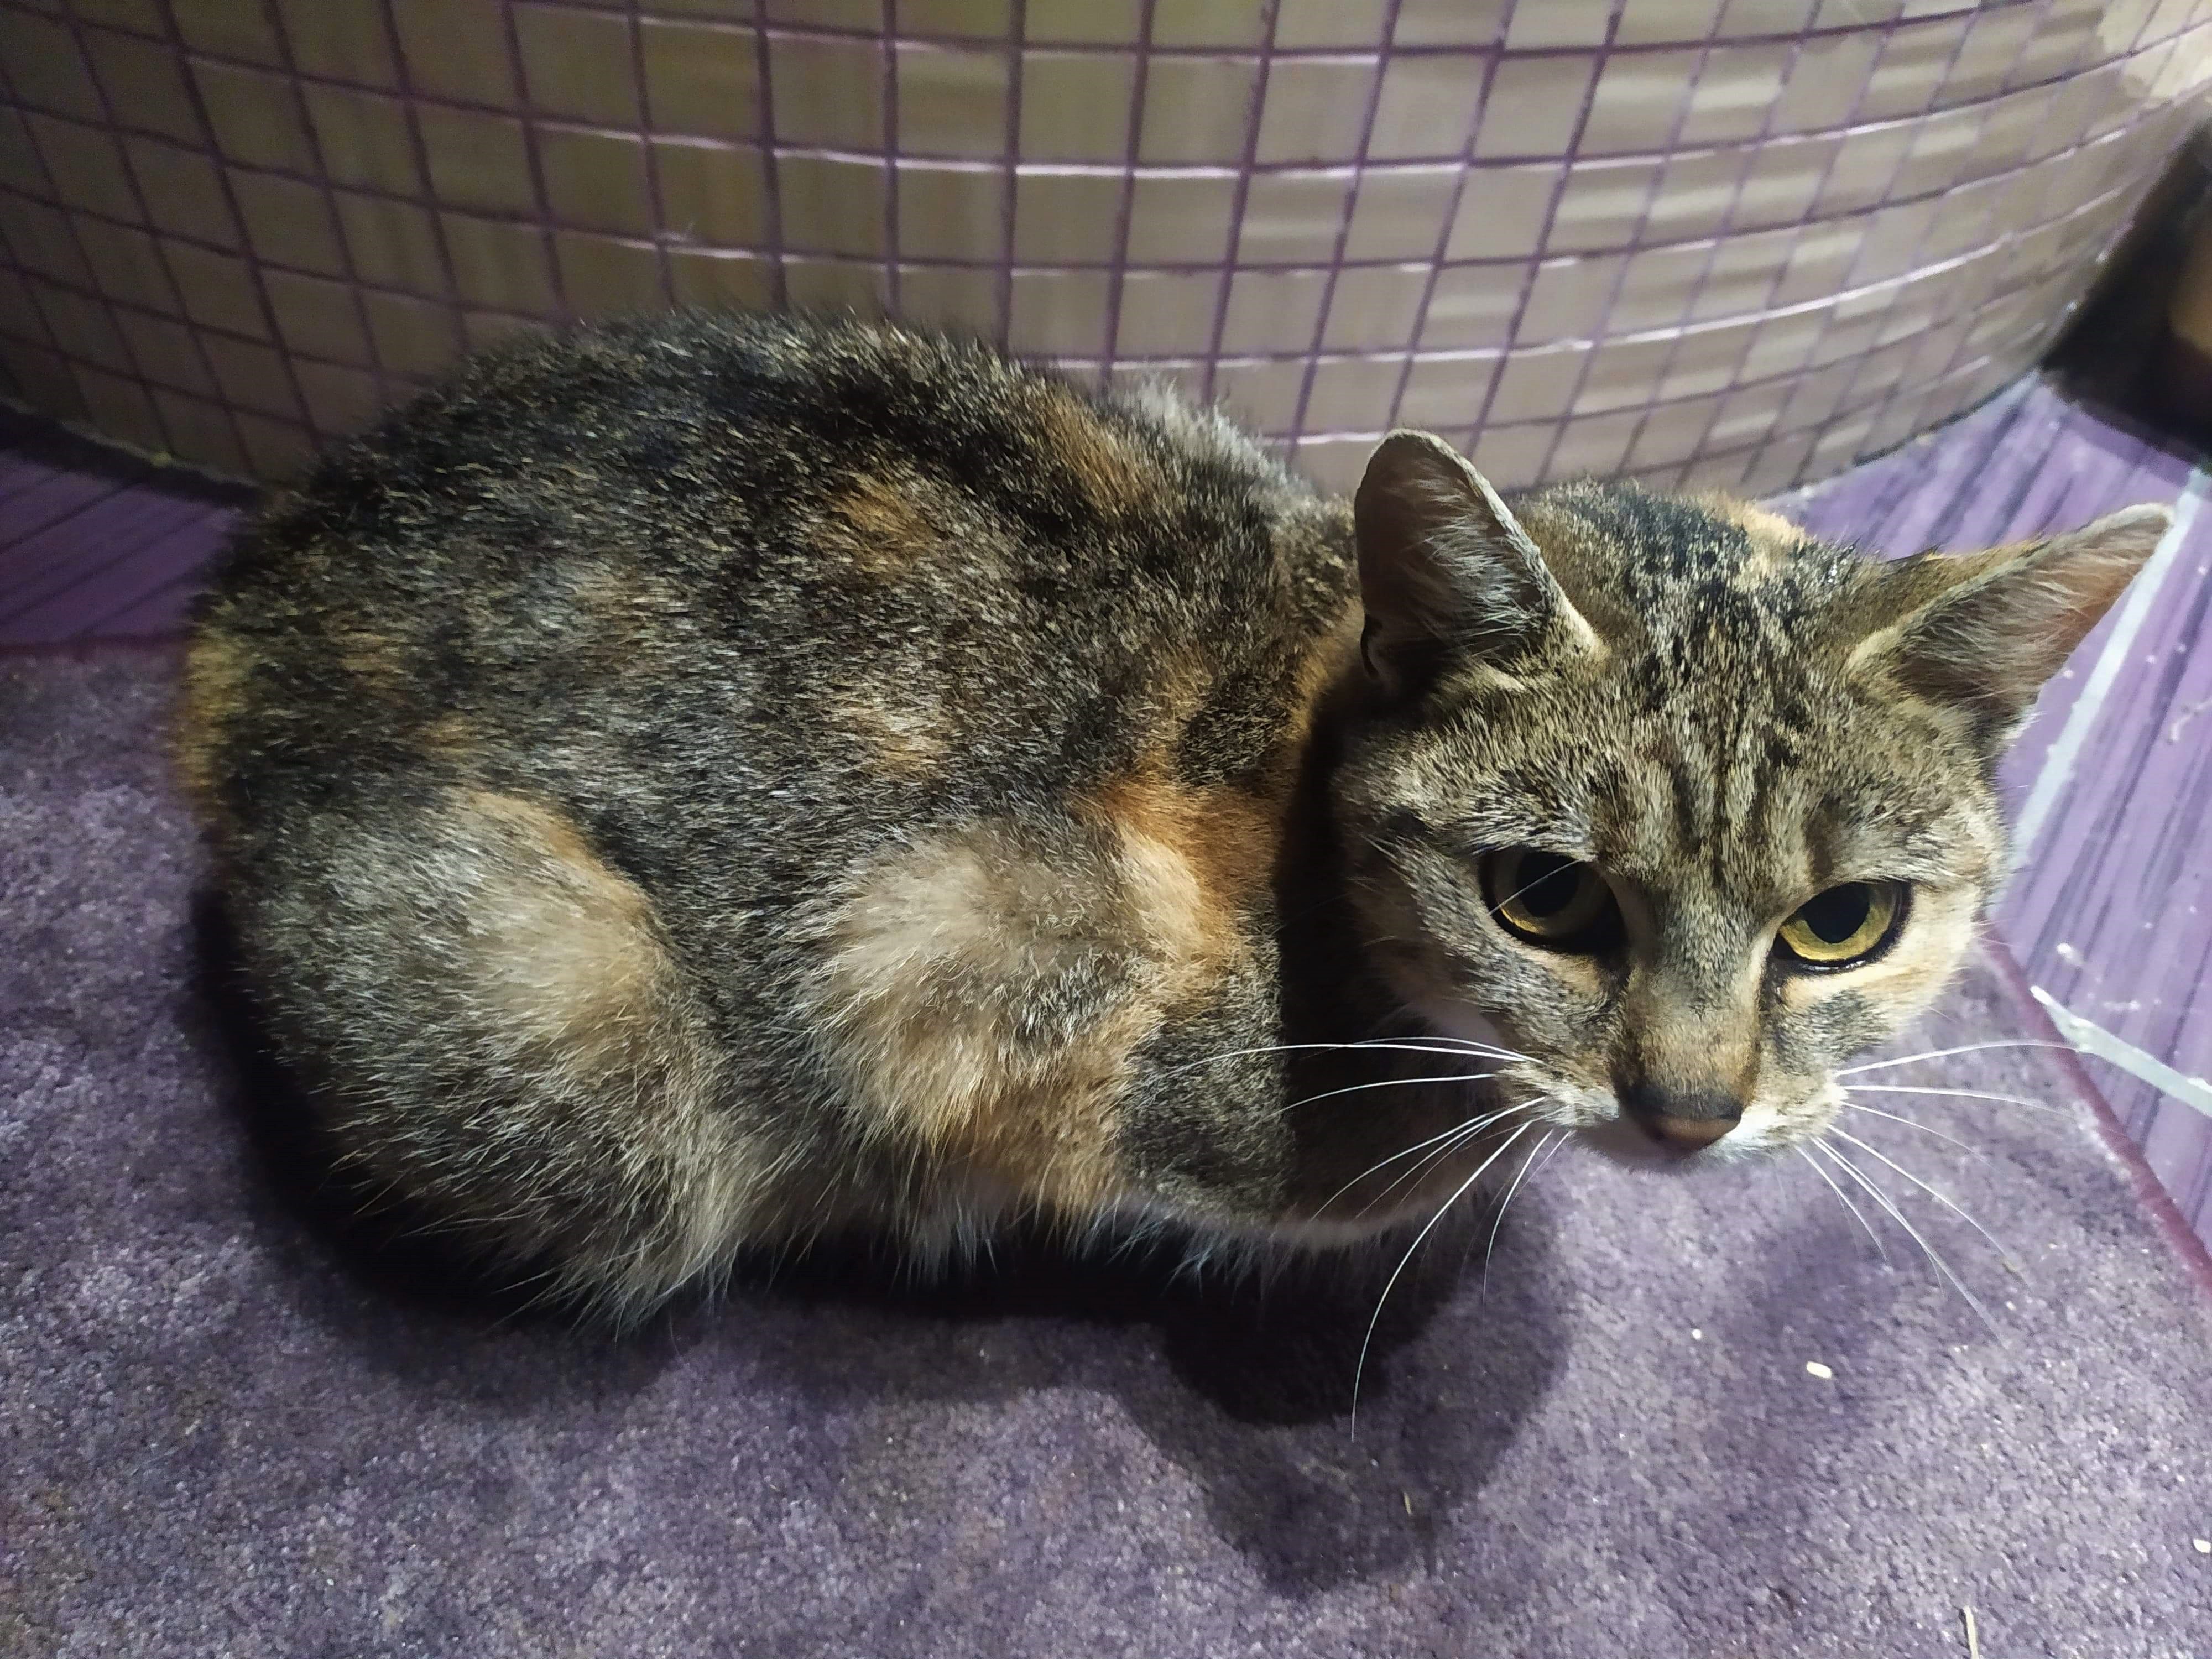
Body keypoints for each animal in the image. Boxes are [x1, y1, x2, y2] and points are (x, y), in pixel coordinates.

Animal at [175, 311, 2169, 1318]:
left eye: (1843, 926)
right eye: (1542, 897)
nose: (1689, 1111)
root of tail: (250, 593)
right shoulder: (940, 947)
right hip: (575, 1045)